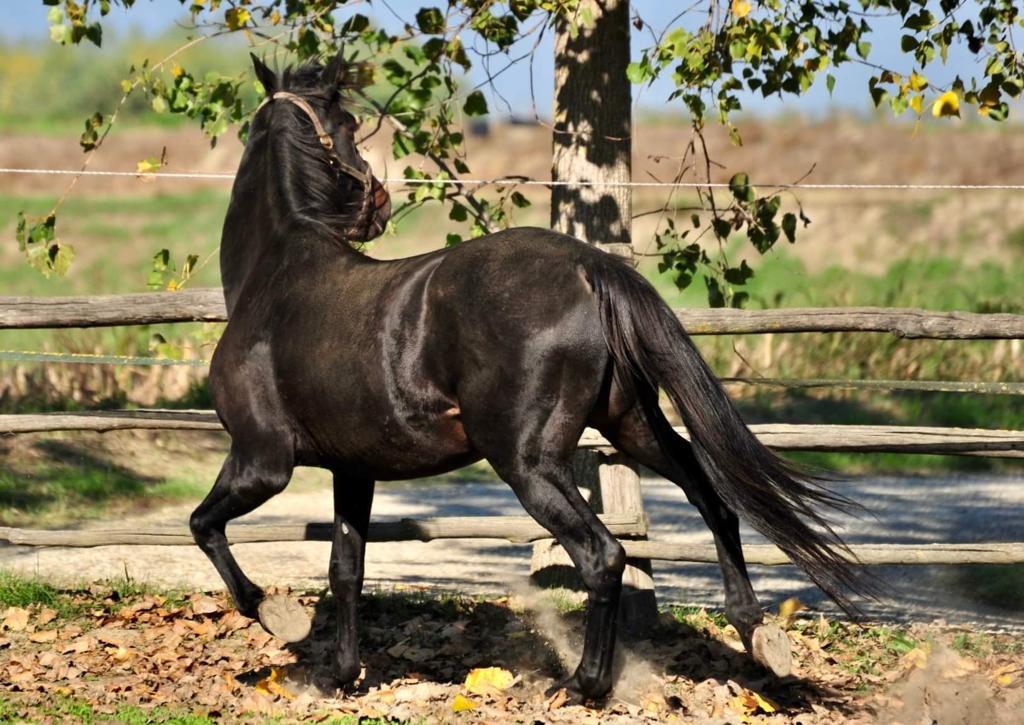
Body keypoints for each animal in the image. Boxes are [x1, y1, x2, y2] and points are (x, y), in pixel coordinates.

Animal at [189, 49, 866, 703]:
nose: (377, 203)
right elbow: (345, 569)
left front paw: (277, 616)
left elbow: (204, 527)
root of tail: (589, 266)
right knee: (712, 498)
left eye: (350, 123)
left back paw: (583, 685)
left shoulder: (263, 460)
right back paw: (756, 632)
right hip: (631, 426)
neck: (276, 275)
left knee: (604, 554)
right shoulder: (352, 470)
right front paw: (340, 676)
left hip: (526, 461)